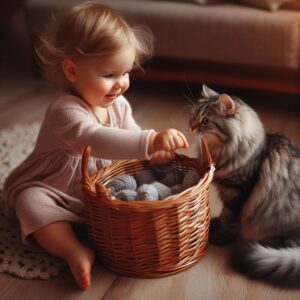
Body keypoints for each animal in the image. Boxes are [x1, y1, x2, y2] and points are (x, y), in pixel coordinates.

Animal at [190, 85, 300, 288]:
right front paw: (215, 222)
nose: (192, 128)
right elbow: (224, 214)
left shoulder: (237, 193)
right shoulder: (228, 194)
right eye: (193, 117)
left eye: (205, 121)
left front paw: (220, 237)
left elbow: (229, 219)